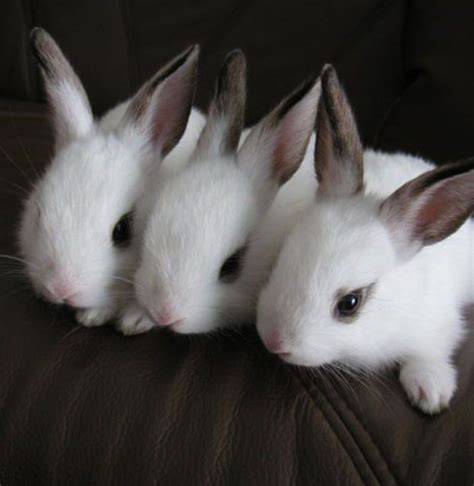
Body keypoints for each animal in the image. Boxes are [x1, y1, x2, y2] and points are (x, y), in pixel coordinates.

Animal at [258, 63, 474, 414]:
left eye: (350, 303)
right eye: (280, 259)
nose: (275, 341)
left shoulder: (440, 323)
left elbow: (431, 350)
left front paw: (431, 393)